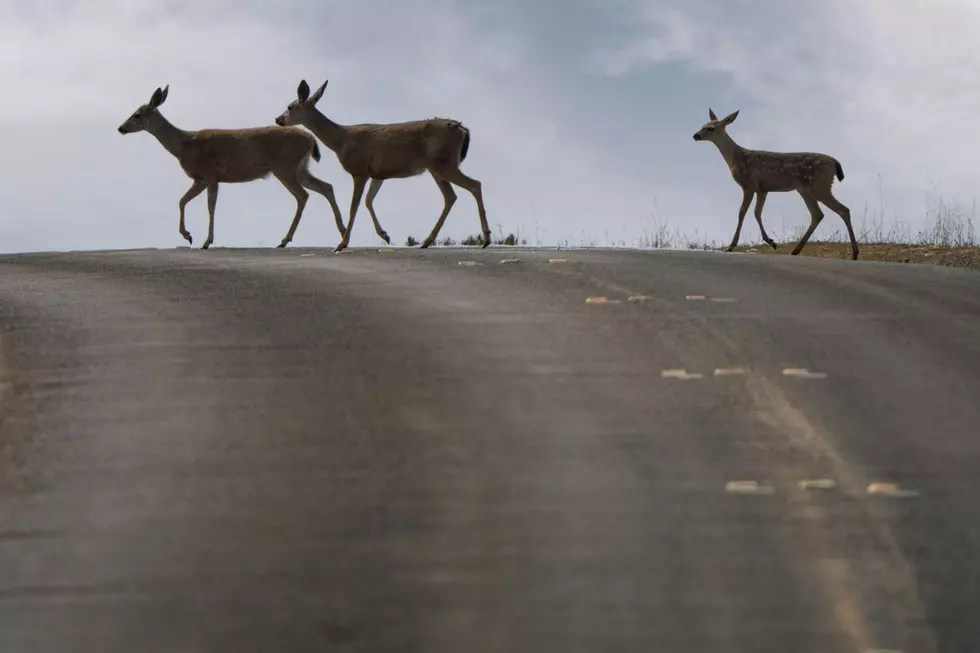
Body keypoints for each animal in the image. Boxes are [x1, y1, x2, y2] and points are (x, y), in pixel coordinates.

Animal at [117, 85, 346, 250]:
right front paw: (203, 239)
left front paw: (193, 238)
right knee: (326, 187)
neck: (183, 145)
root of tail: (310, 138)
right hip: (301, 169)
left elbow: (189, 202)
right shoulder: (212, 179)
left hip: (285, 167)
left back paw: (285, 239)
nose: (121, 128)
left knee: (303, 195)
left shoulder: (206, 175)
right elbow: (207, 205)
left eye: (137, 114)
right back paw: (342, 232)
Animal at [274, 79, 490, 253]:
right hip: (437, 167)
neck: (340, 140)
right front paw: (384, 234)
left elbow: (354, 206)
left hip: (443, 163)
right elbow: (369, 201)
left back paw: (486, 238)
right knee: (451, 196)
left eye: (290, 106)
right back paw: (428, 241)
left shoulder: (359, 170)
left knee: (474, 184)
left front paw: (342, 244)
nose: (278, 119)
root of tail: (462, 128)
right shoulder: (378, 174)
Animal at [693, 109, 859, 261]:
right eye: (702, 125)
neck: (735, 158)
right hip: (806, 189)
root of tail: (835, 162)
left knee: (843, 210)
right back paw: (795, 250)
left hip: (820, 186)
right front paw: (771, 242)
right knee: (818, 214)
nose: (695, 135)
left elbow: (742, 212)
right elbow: (757, 212)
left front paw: (731, 246)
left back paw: (854, 253)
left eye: (710, 128)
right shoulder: (762, 189)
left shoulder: (749, 185)